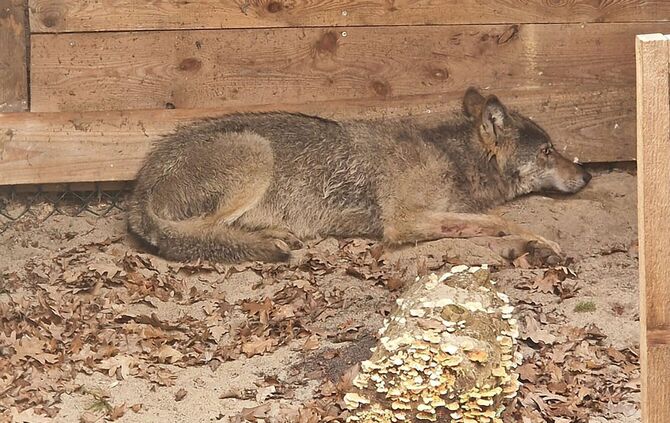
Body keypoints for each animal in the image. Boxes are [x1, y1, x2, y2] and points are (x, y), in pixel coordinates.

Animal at [127, 88, 591, 263]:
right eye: (548, 151)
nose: (587, 175)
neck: (451, 157)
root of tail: (138, 188)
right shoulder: (402, 222)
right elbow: (501, 220)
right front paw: (541, 242)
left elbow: (485, 221)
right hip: (256, 152)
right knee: (200, 234)